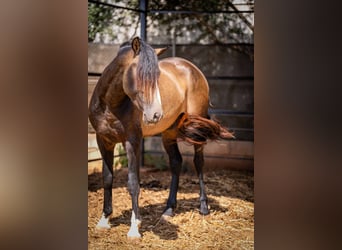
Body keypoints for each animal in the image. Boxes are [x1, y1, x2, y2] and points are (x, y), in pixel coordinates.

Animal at [87, 37, 235, 238]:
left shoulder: (131, 142)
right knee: (176, 162)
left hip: (198, 130)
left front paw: (134, 229)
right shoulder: (104, 142)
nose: (156, 114)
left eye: (157, 78)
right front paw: (104, 220)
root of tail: (192, 68)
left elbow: (133, 183)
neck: (111, 106)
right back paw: (168, 210)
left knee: (198, 162)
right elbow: (108, 179)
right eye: (140, 75)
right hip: (169, 133)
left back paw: (204, 207)